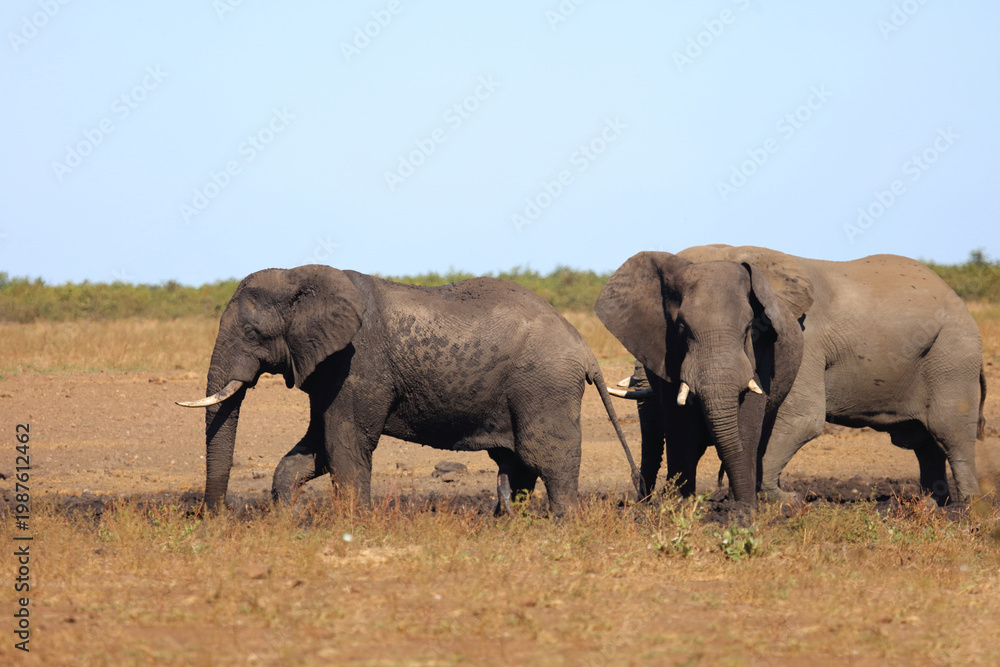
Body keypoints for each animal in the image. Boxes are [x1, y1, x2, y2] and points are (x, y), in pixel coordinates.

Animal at [177, 265, 638, 516]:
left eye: (252, 334)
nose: (214, 517)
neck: (300, 277)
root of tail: (584, 348)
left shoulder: (357, 363)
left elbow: (345, 444)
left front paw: (353, 525)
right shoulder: (327, 369)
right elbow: (316, 447)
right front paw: (288, 520)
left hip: (544, 385)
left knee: (546, 456)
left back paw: (561, 524)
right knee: (518, 463)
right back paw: (504, 523)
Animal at [596, 245, 985, 506]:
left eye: (748, 329)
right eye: (678, 330)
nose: (638, 499)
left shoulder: (803, 340)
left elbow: (801, 419)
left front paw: (780, 500)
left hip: (952, 355)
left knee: (950, 433)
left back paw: (967, 510)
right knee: (924, 443)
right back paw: (932, 504)